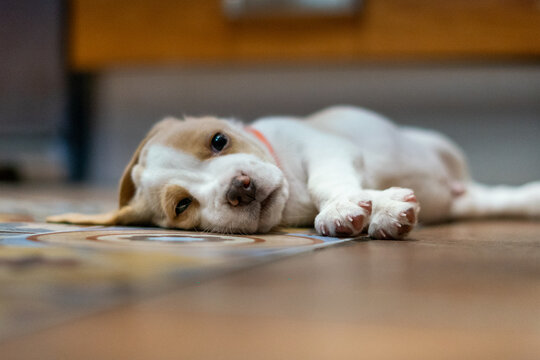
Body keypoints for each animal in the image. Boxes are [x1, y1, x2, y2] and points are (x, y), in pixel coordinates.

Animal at [47, 105, 540, 239]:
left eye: (219, 141)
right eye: (182, 205)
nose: (241, 188)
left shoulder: (328, 149)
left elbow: (329, 181)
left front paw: (355, 207)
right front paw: (371, 209)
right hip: (469, 201)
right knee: (496, 199)